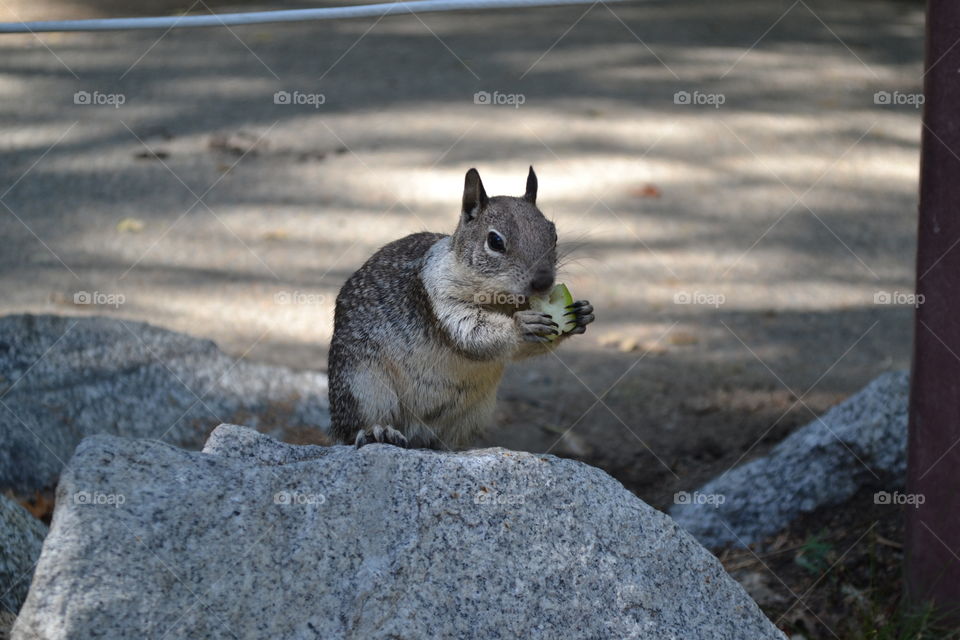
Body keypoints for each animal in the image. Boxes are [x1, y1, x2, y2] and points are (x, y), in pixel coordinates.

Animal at [328, 167, 595, 449]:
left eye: (553, 235)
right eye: (495, 241)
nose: (544, 282)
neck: (500, 299)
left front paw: (582, 312)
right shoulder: (440, 295)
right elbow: (470, 331)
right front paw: (521, 326)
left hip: (473, 414)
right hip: (361, 386)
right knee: (354, 429)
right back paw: (377, 432)